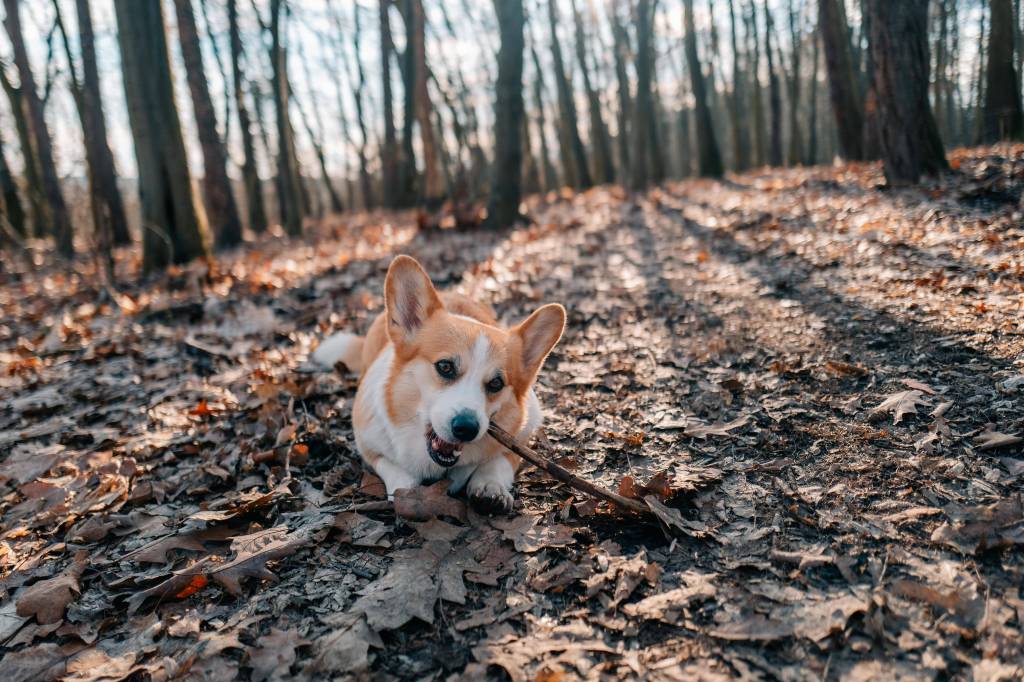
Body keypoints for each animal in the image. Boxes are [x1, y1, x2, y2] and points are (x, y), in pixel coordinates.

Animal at [313, 258, 569, 512]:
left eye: (496, 383)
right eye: (445, 367)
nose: (466, 428)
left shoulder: (523, 433)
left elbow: (500, 459)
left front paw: (490, 486)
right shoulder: (370, 447)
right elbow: (393, 468)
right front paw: (408, 492)